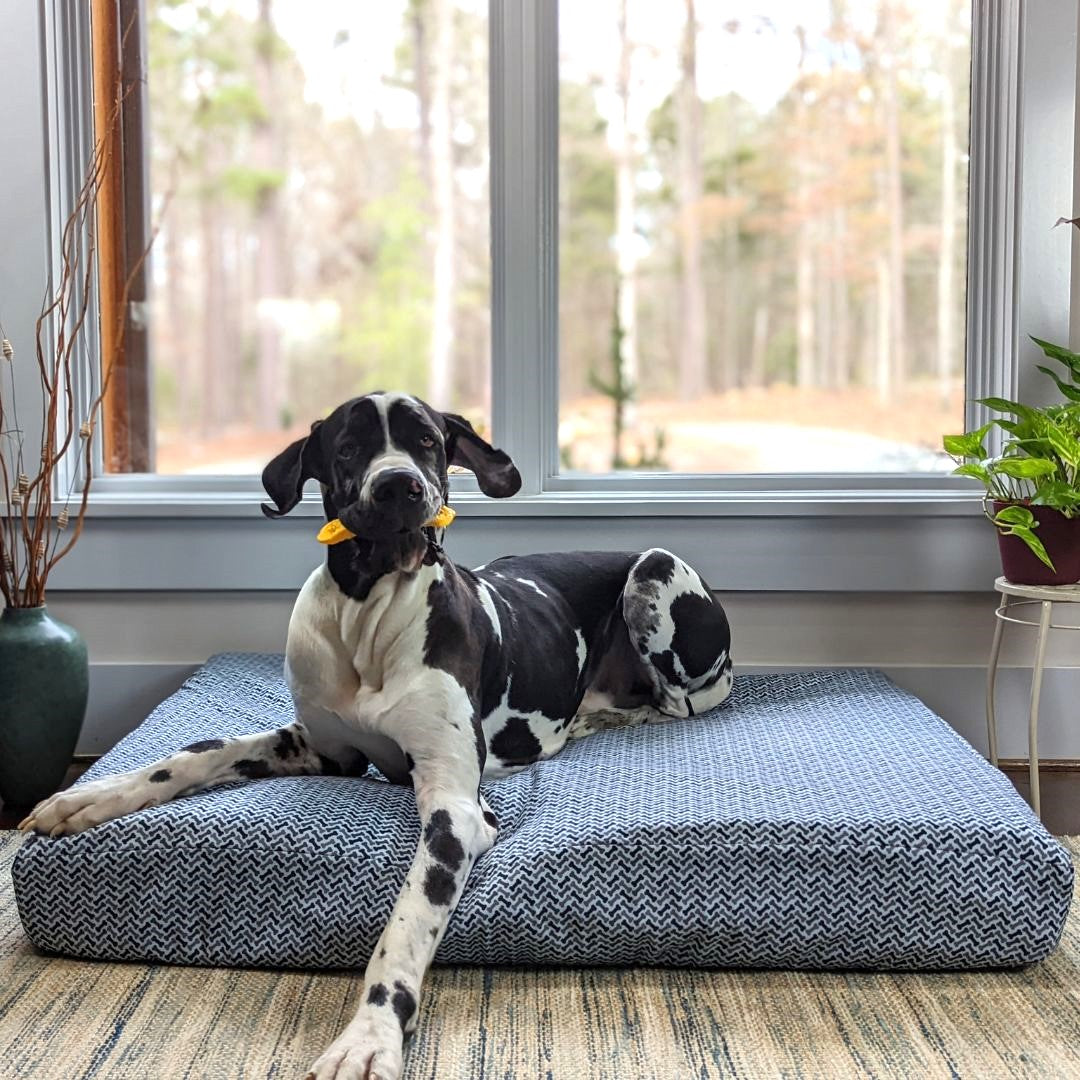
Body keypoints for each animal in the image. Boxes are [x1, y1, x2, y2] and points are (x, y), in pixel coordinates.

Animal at [23, 395, 734, 1080]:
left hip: (655, 570)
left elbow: (405, 927)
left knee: (675, 704)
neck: (368, 610)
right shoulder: (321, 747)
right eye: (348, 446)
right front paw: (90, 797)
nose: (399, 486)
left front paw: (369, 1037)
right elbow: (199, 753)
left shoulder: (455, 811)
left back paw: (591, 716)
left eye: (427, 441)